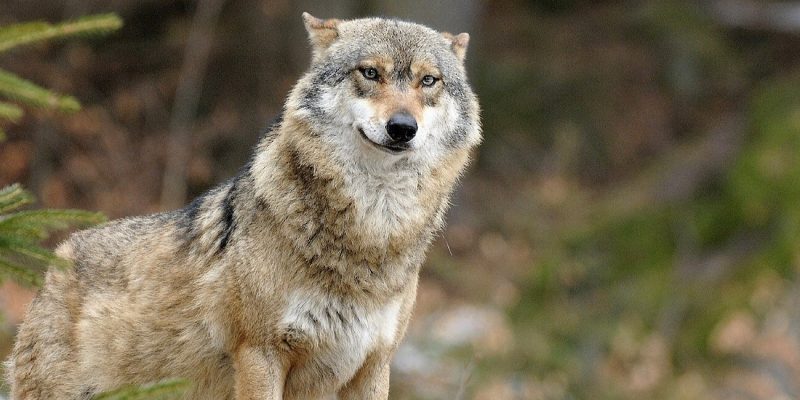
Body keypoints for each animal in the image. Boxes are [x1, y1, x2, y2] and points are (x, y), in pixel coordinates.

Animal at [7, 13, 480, 399]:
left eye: (428, 81)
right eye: (370, 72)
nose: (402, 127)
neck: (372, 233)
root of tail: (56, 260)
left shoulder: (374, 366)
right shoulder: (260, 353)